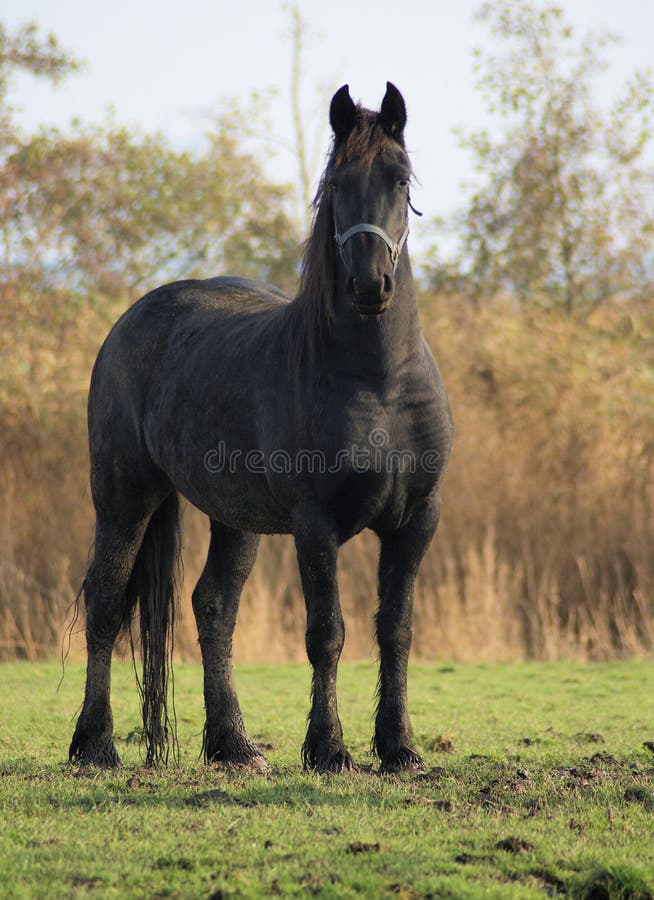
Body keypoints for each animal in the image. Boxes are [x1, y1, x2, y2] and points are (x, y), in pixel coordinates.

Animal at [69, 82, 454, 772]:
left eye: (401, 177)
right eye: (337, 184)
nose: (370, 284)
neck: (378, 382)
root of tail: (131, 320)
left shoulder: (417, 521)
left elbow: (396, 630)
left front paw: (399, 747)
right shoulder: (316, 524)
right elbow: (327, 634)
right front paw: (329, 749)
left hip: (234, 518)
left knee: (213, 607)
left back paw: (234, 745)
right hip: (123, 499)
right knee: (107, 602)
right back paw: (96, 744)